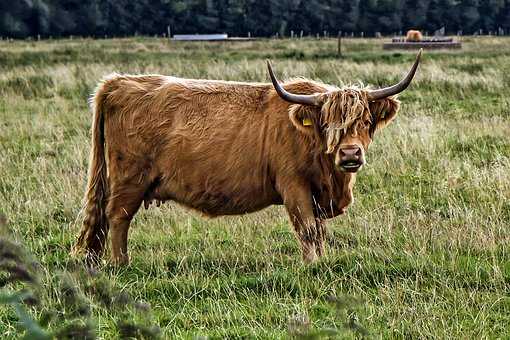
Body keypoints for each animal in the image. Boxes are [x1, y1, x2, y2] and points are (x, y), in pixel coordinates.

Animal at [71, 49, 422, 266]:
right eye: (327, 124)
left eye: (365, 121)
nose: (350, 153)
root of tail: (119, 81)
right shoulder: (294, 186)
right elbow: (307, 229)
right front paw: (311, 267)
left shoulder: (316, 192)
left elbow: (319, 232)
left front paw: (321, 262)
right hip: (129, 179)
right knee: (118, 217)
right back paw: (122, 263)